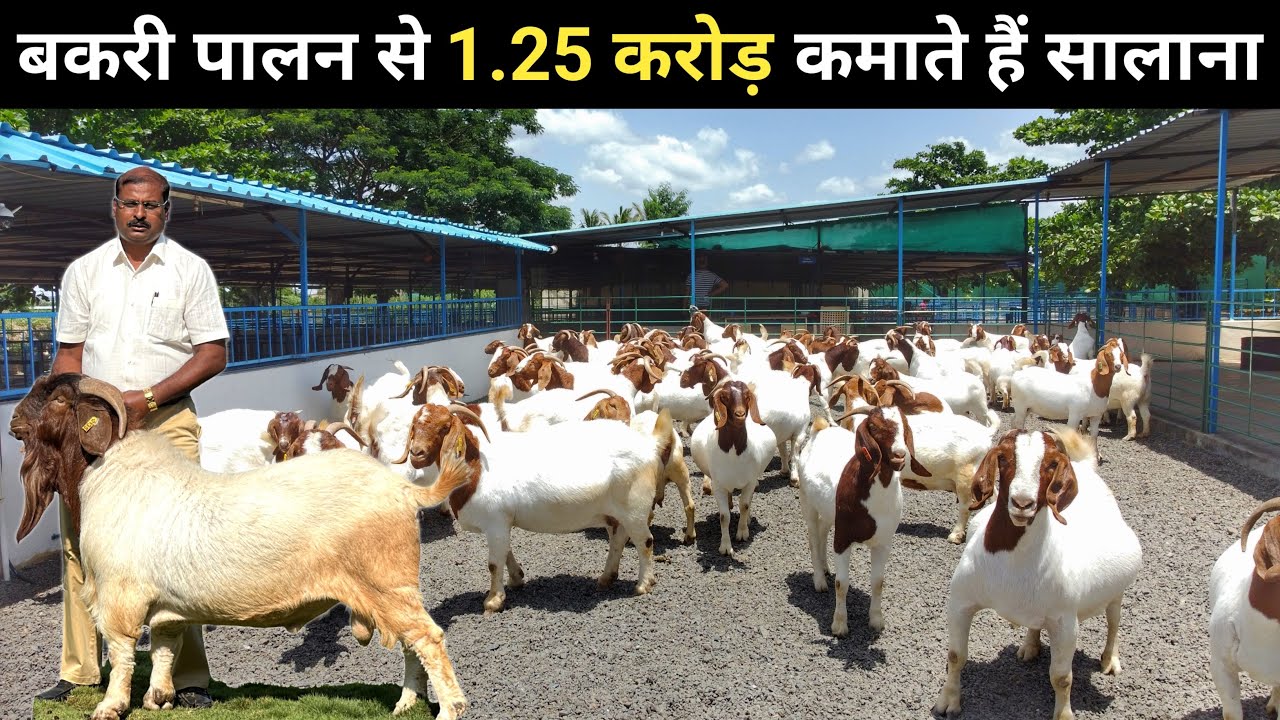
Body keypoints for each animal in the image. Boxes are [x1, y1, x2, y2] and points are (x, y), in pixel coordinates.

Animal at [10, 373, 471, 720]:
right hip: (392, 591)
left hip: (388, 585)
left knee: (428, 638)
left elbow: (122, 652)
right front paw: (157, 698)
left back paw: (448, 709)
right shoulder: (164, 606)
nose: (13, 418)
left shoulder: (119, 595)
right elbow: (163, 648)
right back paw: (406, 703)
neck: (106, 473)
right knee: (412, 644)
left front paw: (110, 706)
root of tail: (404, 490)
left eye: (56, 399)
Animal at [933, 427, 1142, 720]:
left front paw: (1064, 714)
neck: (1012, 565)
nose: (1022, 502)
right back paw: (1030, 647)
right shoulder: (961, 602)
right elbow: (955, 656)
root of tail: (1085, 468)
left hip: (1115, 593)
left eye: (1052, 464)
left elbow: (1062, 678)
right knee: (1036, 623)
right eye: (1004, 458)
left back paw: (1110, 660)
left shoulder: (1066, 623)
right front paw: (948, 701)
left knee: (1114, 621)